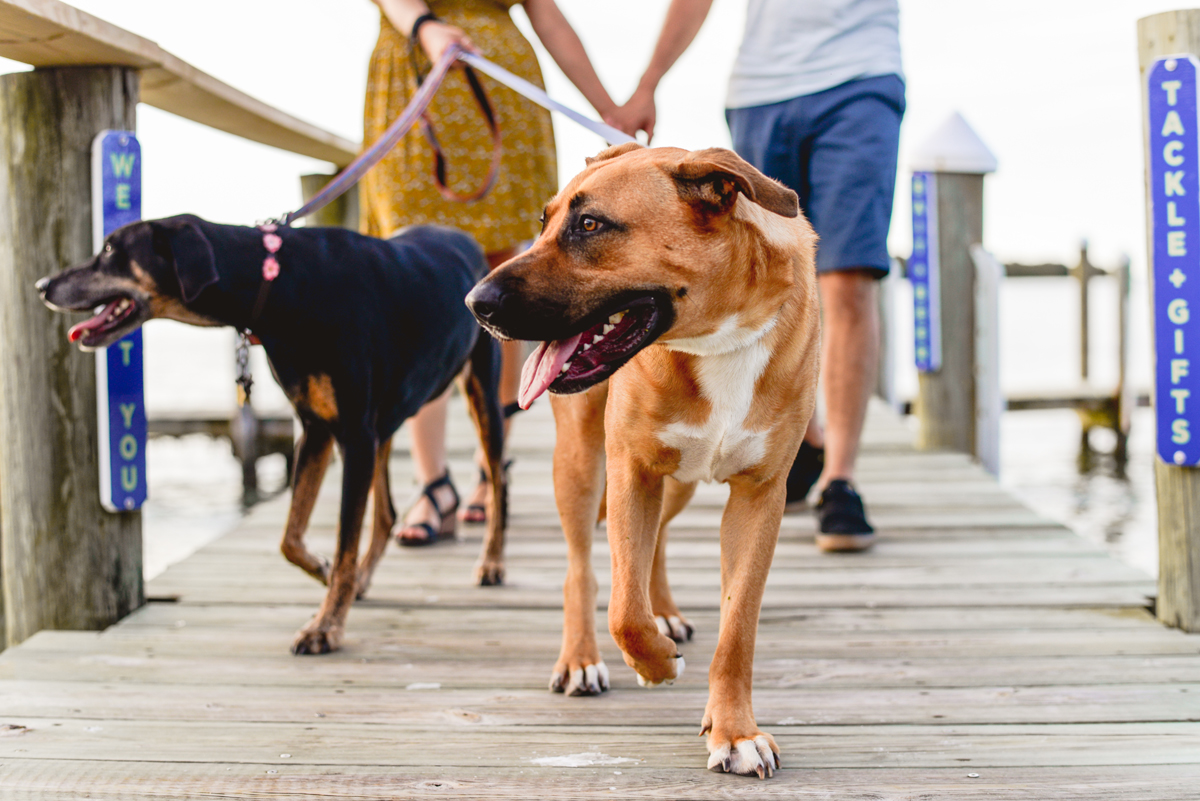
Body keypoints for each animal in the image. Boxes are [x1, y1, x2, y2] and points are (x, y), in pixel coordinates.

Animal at [37, 215, 506, 652]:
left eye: (110, 250)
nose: (42, 285)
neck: (279, 284)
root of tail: (464, 236)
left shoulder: (353, 434)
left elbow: (343, 540)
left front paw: (325, 626)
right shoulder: (318, 428)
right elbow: (290, 538)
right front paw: (324, 572)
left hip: (480, 393)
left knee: (497, 481)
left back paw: (492, 563)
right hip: (385, 424)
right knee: (387, 512)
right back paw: (364, 576)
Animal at [463, 143, 820, 777]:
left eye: (589, 225)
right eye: (543, 222)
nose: (474, 305)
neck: (716, 338)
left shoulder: (760, 495)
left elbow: (738, 627)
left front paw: (734, 730)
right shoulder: (631, 468)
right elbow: (624, 610)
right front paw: (656, 663)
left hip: (676, 482)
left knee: (657, 543)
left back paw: (667, 611)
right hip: (581, 464)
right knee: (582, 568)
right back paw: (582, 658)